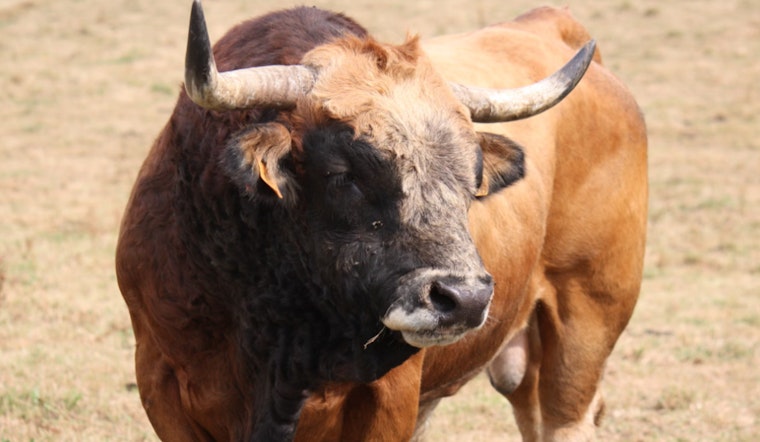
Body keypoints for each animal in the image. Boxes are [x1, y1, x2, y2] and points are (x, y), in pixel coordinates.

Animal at [115, 1, 647, 441]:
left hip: (587, 318)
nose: (465, 299)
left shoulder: (388, 397)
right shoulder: (161, 381)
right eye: (341, 173)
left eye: (473, 176)